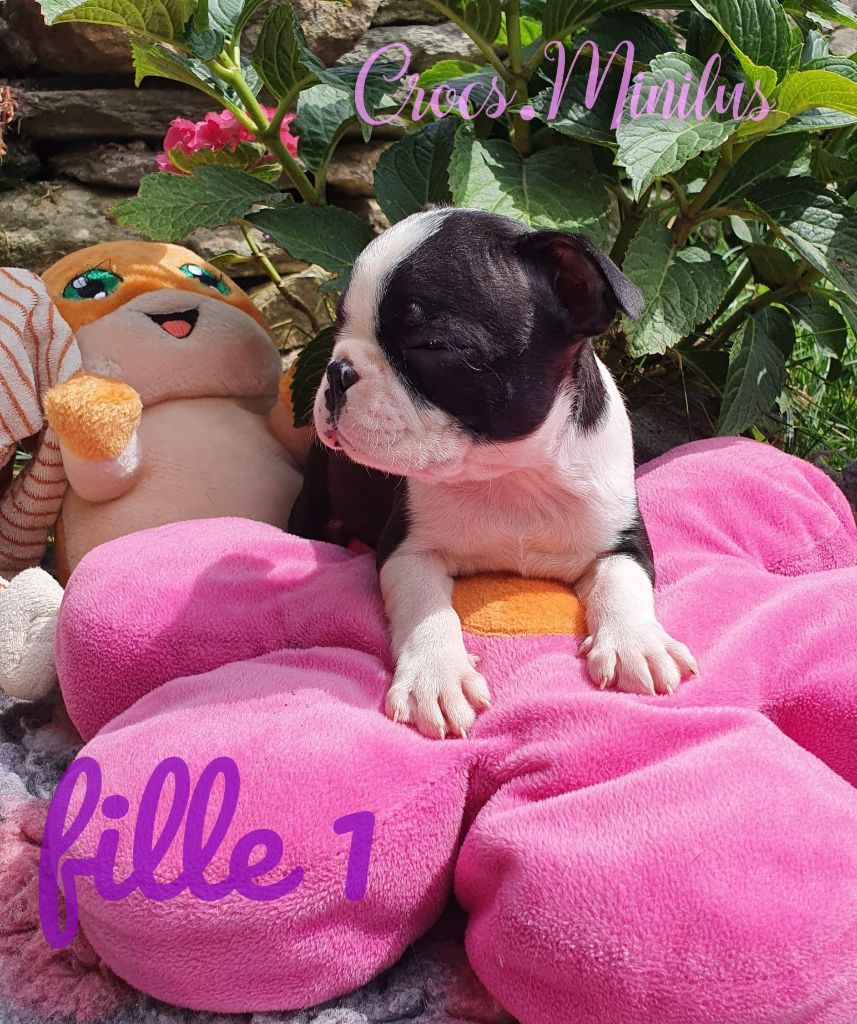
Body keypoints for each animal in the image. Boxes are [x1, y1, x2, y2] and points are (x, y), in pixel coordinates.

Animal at [289, 208, 697, 739]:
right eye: (338, 327)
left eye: (431, 346)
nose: (338, 370)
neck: (510, 474)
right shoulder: (406, 548)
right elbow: (426, 605)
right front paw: (436, 676)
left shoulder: (622, 536)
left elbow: (623, 582)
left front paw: (637, 643)